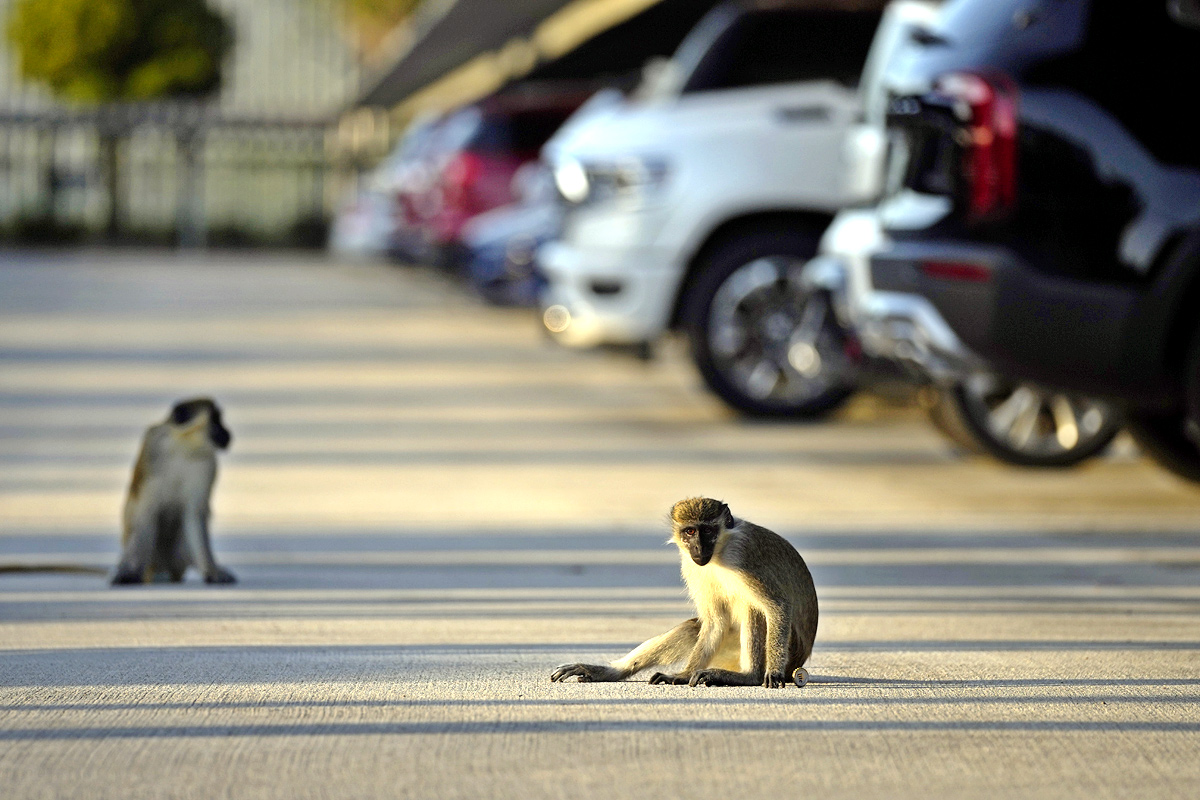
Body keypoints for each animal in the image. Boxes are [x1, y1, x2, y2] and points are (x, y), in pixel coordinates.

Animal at [114, 398, 238, 585]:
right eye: (216, 420)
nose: (227, 432)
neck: (183, 447)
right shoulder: (152, 450)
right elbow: (146, 512)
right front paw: (130, 572)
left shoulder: (208, 465)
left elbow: (194, 514)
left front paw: (213, 571)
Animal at [549, 494, 816, 690]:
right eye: (689, 532)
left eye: (707, 531)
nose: (697, 548)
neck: (720, 551)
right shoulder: (691, 565)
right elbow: (714, 622)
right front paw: (684, 675)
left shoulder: (743, 556)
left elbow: (777, 605)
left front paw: (772, 672)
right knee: (693, 628)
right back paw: (610, 671)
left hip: (790, 649)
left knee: (754, 609)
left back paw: (750, 675)